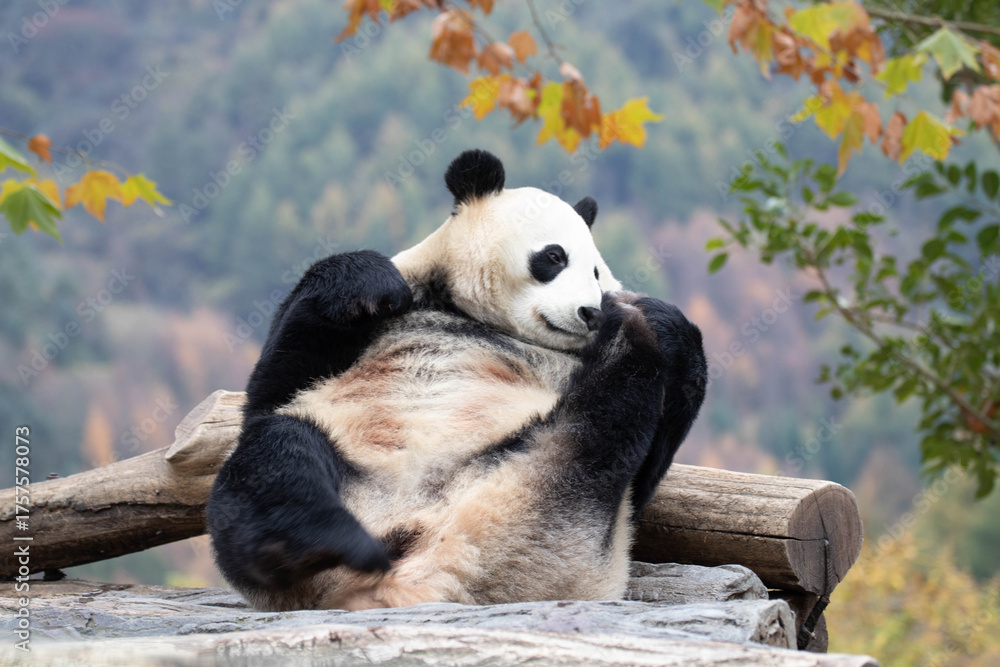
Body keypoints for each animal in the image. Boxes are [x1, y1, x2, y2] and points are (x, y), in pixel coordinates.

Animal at [207, 149, 707, 612]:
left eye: (598, 272)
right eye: (554, 256)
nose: (592, 311)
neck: (478, 317)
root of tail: (431, 575)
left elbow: (646, 475)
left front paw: (659, 320)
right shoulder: (392, 311)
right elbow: (276, 387)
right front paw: (372, 282)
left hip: (555, 503)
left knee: (603, 426)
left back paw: (632, 335)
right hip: (354, 476)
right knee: (279, 452)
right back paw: (323, 541)